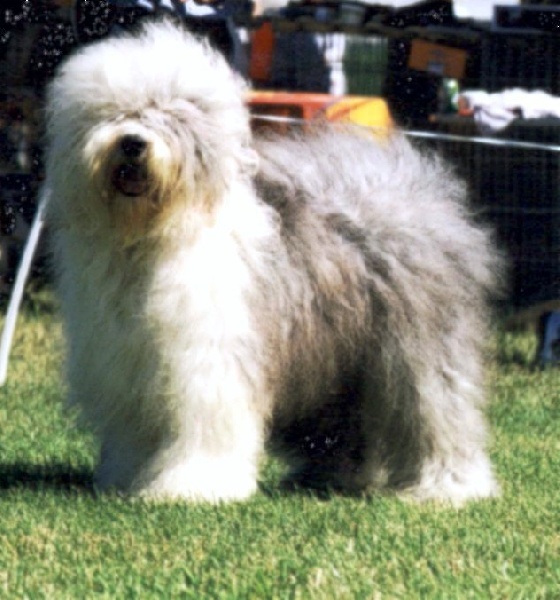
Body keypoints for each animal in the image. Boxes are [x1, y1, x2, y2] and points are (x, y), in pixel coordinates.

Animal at [43, 21, 503, 503]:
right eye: (112, 114)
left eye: (171, 114)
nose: (132, 143)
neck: (150, 237)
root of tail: (422, 189)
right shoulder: (127, 364)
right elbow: (136, 433)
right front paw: (128, 479)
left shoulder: (207, 364)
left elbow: (206, 427)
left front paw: (193, 486)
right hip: (338, 357)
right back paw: (332, 478)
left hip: (418, 345)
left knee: (437, 407)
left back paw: (449, 487)